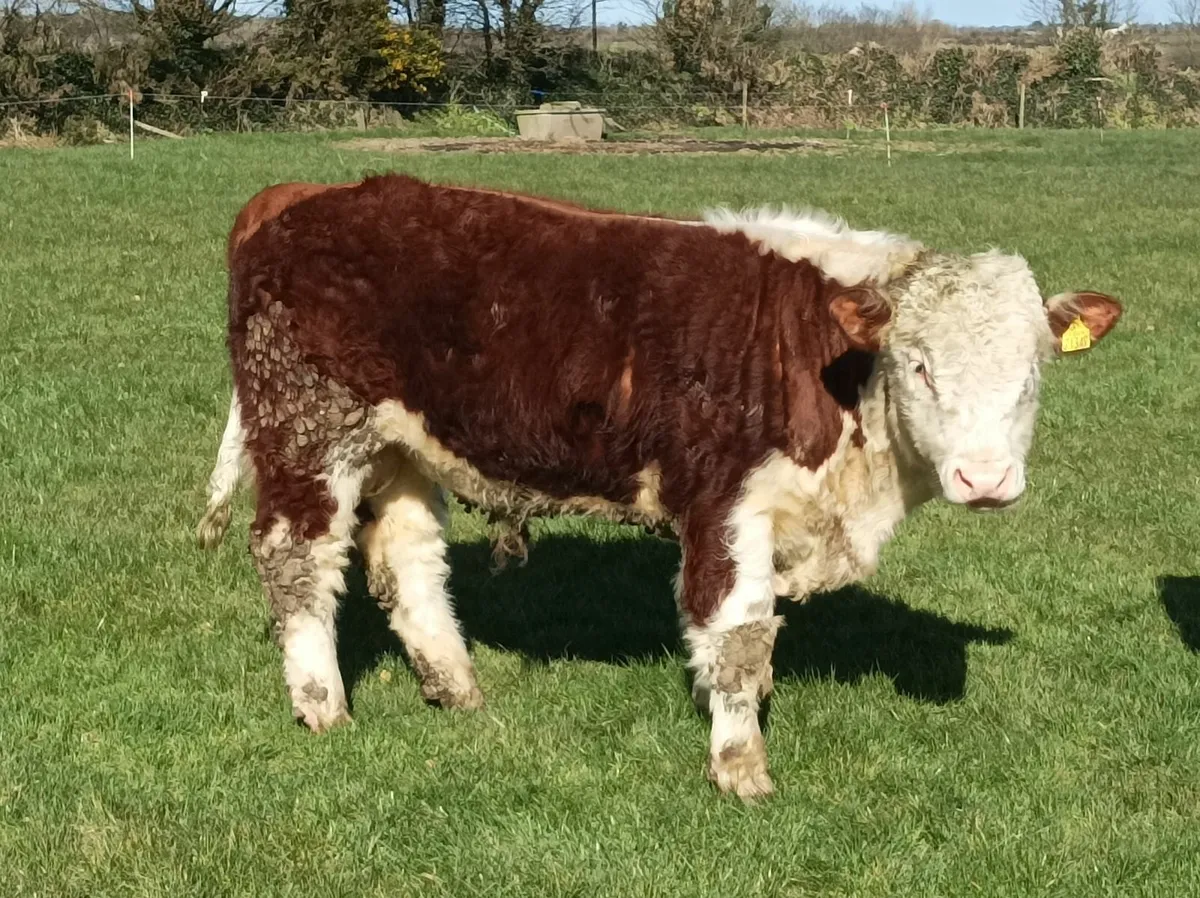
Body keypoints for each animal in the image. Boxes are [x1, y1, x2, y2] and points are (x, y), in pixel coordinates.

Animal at [197, 174, 1121, 800]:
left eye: (1034, 370)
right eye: (919, 364)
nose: (986, 477)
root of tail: (301, 195)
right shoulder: (725, 503)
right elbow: (739, 631)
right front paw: (741, 765)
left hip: (400, 448)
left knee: (408, 562)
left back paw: (457, 689)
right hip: (310, 430)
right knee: (297, 560)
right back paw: (322, 704)